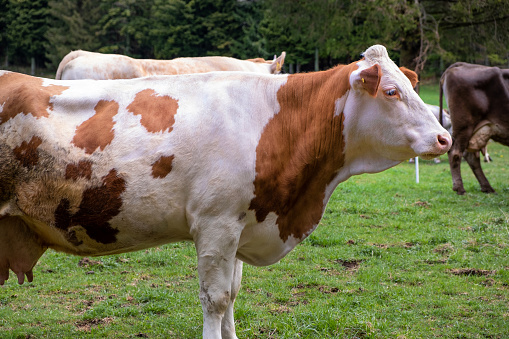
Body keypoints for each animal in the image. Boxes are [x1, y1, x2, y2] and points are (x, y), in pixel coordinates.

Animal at [1, 45, 450, 339]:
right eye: (391, 91)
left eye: (408, 87)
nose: (444, 138)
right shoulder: (215, 226)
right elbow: (215, 299)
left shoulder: (239, 225)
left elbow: (232, 295)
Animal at [438, 61, 506, 194]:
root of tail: (461, 64)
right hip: (465, 127)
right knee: (455, 153)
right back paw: (460, 188)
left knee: (471, 156)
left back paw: (487, 187)